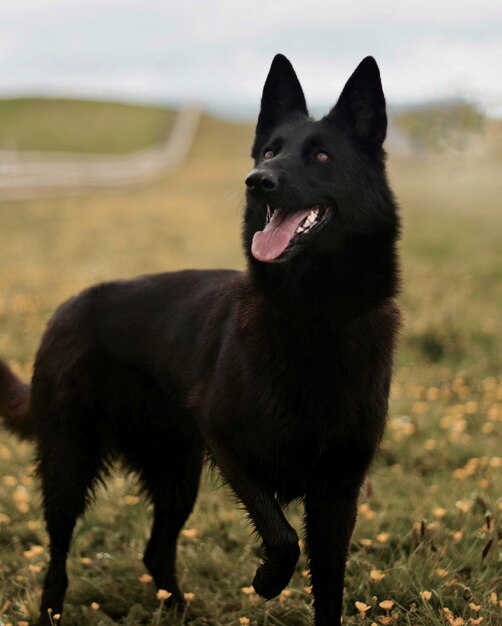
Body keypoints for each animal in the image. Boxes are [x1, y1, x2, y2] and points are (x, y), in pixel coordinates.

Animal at [0, 56, 400, 620]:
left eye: (321, 155)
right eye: (270, 151)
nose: (256, 181)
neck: (314, 313)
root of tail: (65, 307)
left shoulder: (338, 493)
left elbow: (329, 590)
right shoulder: (226, 442)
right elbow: (281, 536)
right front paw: (268, 581)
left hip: (176, 475)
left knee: (154, 551)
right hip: (69, 465)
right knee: (57, 560)